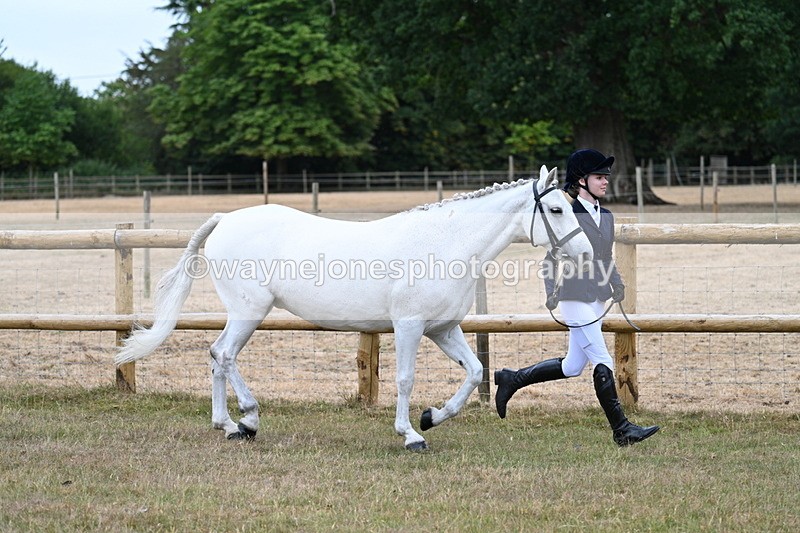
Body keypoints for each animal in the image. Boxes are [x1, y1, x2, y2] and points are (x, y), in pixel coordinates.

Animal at [115, 166, 592, 451]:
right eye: (555, 208)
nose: (586, 252)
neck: (444, 244)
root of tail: (225, 219)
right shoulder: (409, 326)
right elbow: (404, 379)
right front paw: (411, 434)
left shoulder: (443, 329)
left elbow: (474, 372)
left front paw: (432, 417)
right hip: (249, 311)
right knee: (224, 354)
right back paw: (248, 419)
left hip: (243, 313)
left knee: (216, 357)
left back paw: (229, 426)